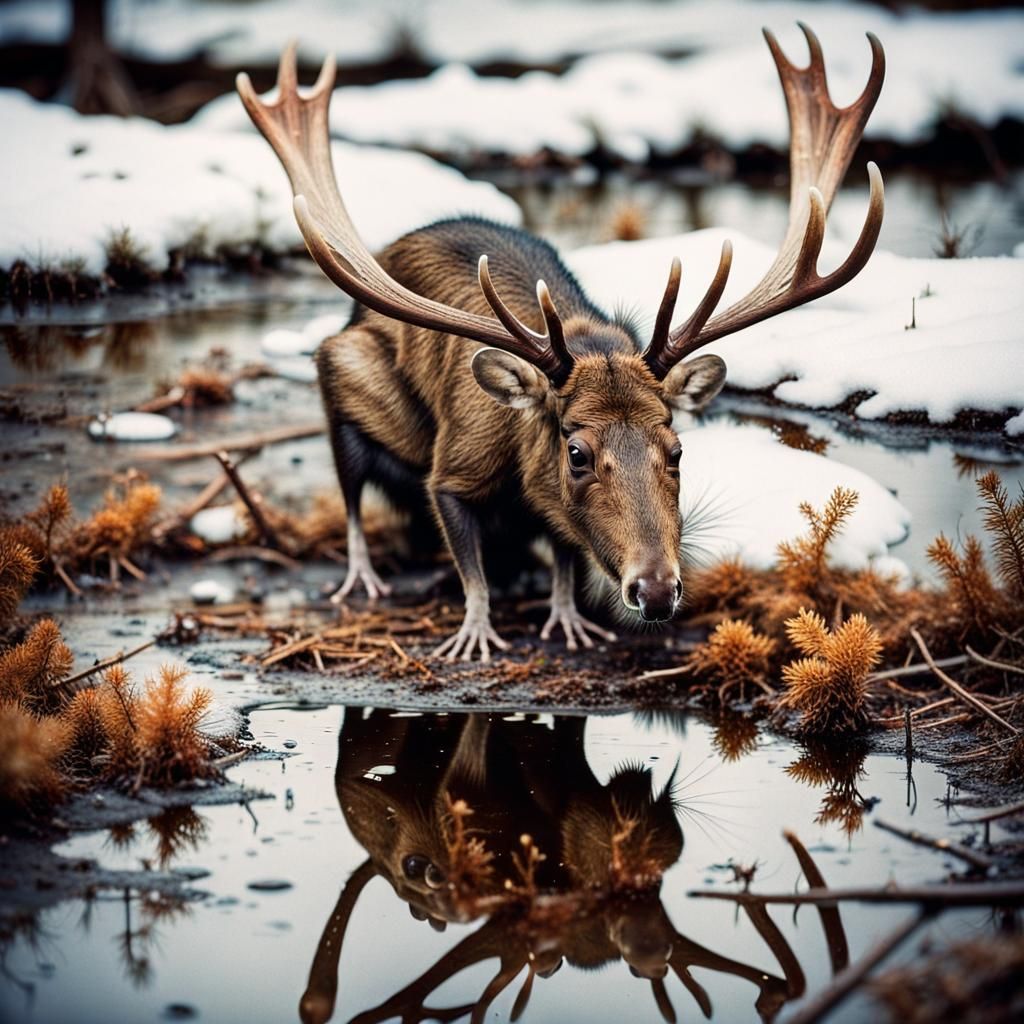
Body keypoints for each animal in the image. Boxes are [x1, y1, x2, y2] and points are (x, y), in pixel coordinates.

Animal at [237, 24, 885, 661]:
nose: (656, 590)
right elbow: (470, 565)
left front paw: (568, 617)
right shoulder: (455, 466)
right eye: (576, 452)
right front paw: (476, 632)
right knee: (350, 488)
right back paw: (362, 577)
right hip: (341, 367)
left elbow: (568, 555)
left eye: (677, 450)